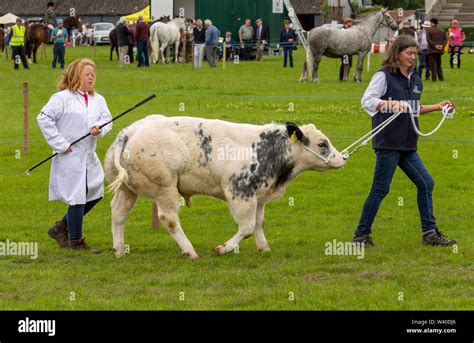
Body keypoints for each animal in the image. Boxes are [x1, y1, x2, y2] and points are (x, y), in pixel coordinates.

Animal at [104, 115, 344, 258]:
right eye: (322, 143)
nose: (343, 158)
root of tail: (130, 131)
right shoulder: (240, 192)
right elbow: (247, 227)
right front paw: (224, 248)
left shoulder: (259, 196)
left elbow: (259, 223)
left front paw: (263, 247)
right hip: (165, 187)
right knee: (169, 219)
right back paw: (190, 251)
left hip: (128, 188)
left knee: (118, 213)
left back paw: (119, 249)